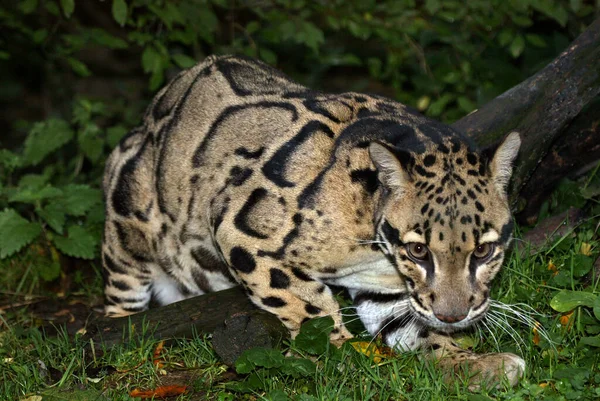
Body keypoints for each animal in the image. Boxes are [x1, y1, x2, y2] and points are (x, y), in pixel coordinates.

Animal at [103, 54, 524, 386]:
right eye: (419, 250)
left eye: (483, 251)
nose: (452, 315)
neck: (374, 246)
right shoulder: (240, 229)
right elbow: (311, 309)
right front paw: (338, 360)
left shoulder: (386, 290)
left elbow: (412, 326)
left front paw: (469, 363)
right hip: (127, 223)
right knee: (119, 301)